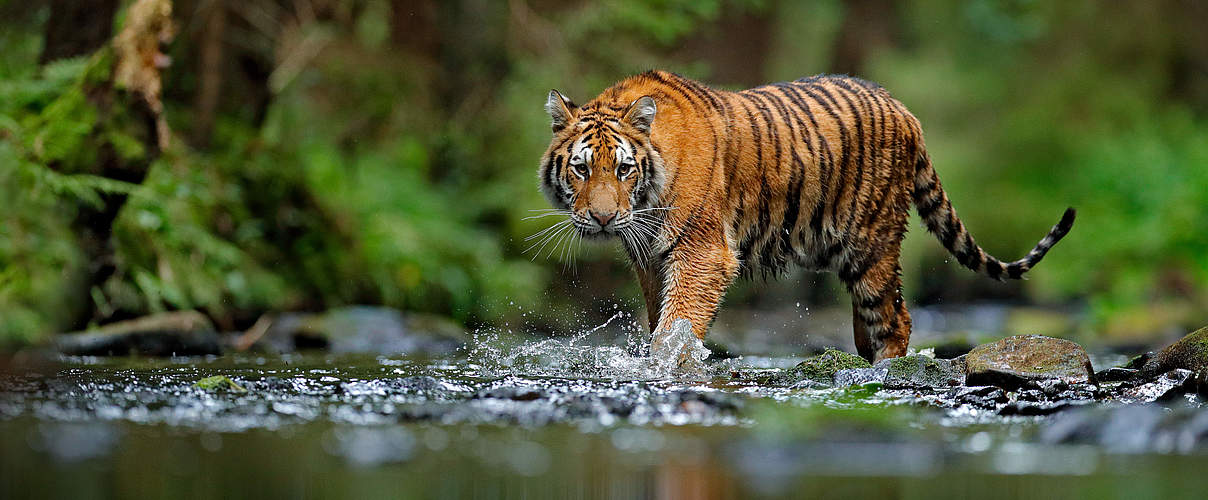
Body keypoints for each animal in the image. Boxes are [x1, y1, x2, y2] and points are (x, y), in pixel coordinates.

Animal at [533, 70, 1072, 362]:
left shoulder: (703, 253)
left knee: (895, 318)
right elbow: (657, 320)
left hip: (872, 245)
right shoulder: (649, 259)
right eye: (582, 169)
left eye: (624, 169)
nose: (603, 219)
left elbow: (676, 324)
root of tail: (904, 109)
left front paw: (666, 366)